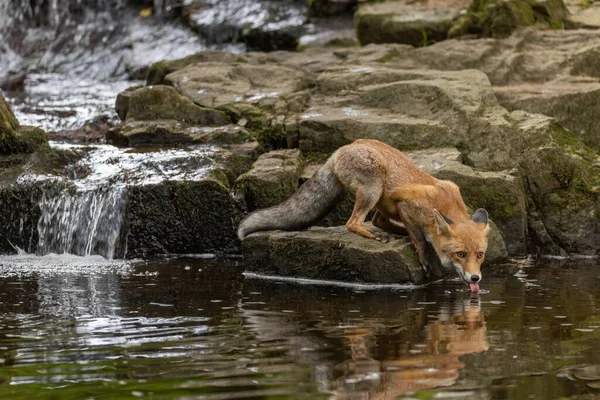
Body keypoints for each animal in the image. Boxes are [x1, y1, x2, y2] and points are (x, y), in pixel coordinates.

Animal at [237, 139, 490, 292]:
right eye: (460, 254)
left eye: (479, 255)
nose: (475, 278)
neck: (447, 205)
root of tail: (341, 149)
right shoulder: (407, 206)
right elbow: (419, 239)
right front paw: (425, 256)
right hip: (373, 187)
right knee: (353, 222)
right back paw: (376, 235)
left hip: (379, 197)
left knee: (378, 220)